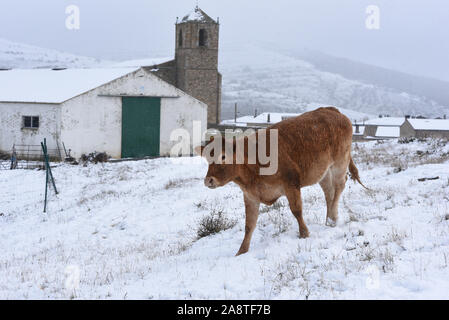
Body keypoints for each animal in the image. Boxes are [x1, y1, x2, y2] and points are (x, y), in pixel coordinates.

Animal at [194, 107, 366, 255]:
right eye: (207, 159)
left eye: (223, 156)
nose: (208, 180)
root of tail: (331, 110)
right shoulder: (250, 195)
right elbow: (249, 225)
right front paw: (241, 251)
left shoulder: (291, 184)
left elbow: (296, 210)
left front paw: (304, 233)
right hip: (323, 172)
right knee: (329, 191)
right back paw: (330, 219)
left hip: (339, 163)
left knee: (339, 186)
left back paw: (331, 219)